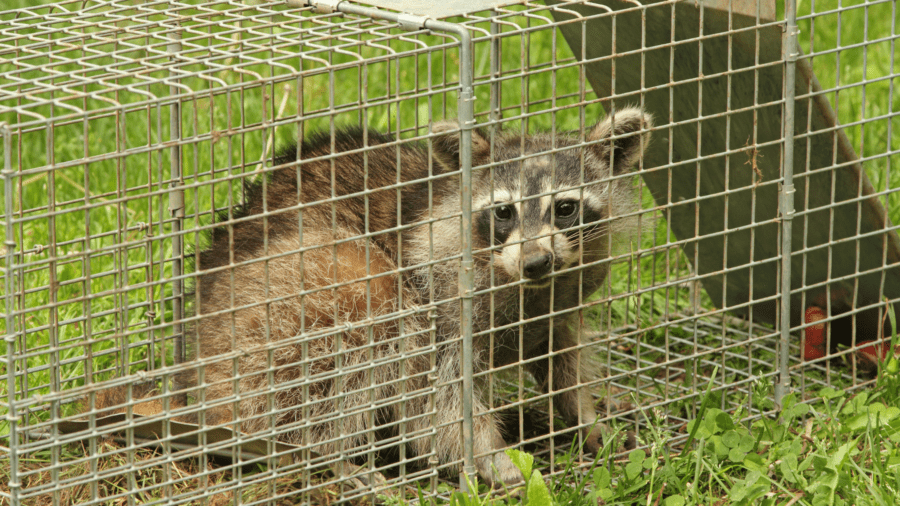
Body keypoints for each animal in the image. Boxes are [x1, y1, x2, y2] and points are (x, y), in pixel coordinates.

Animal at [86, 108, 651, 488]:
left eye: (565, 208)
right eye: (504, 212)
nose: (537, 261)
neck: (524, 286)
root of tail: (196, 379)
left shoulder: (564, 296)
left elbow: (563, 360)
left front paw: (589, 421)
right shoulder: (441, 301)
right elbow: (440, 405)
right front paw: (495, 461)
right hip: (278, 303)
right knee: (359, 318)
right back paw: (319, 454)